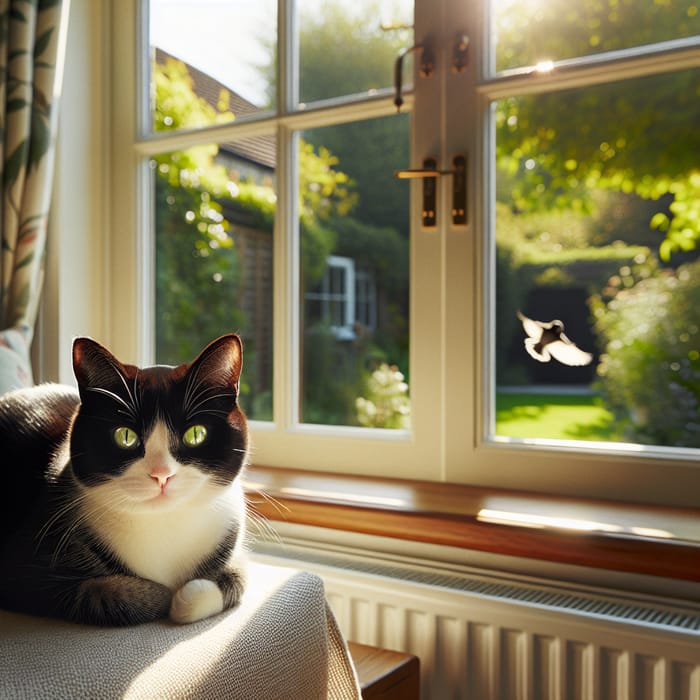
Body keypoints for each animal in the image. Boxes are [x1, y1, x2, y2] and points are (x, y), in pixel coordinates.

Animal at [0, 336, 249, 628]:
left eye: (196, 434)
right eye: (125, 436)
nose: (161, 474)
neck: (162, 523)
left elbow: (239, 574)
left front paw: (185, 599)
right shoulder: (24, 569)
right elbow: (101, 593)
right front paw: (164, 595)